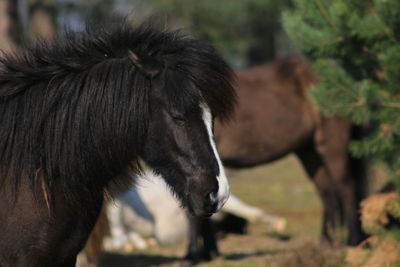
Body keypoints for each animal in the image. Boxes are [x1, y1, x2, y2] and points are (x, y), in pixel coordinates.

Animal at [186, 58, 368, 262]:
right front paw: (209, 252)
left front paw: (194, 255)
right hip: (308, 151)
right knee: (327, 193)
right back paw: (325, 244)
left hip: (331, 146)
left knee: (347, 188)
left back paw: (352, 242)